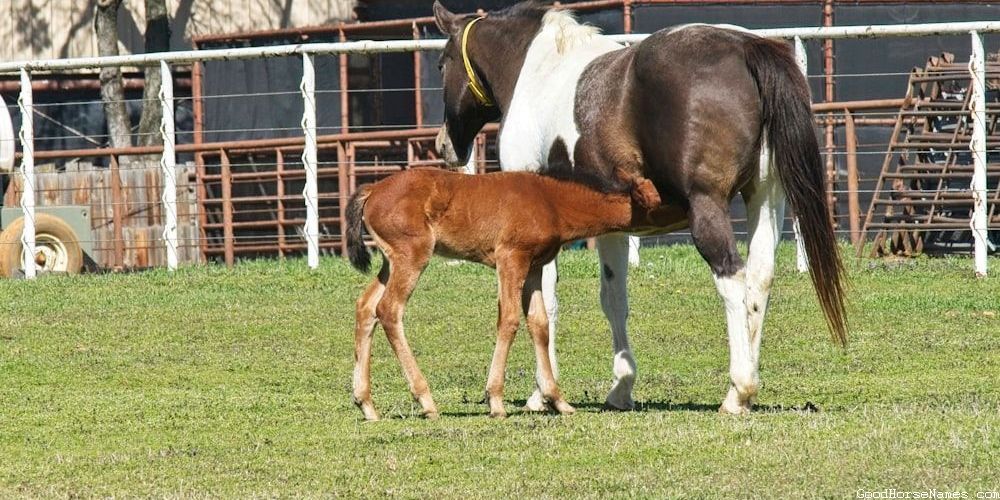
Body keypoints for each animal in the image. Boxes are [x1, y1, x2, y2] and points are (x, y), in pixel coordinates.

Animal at [345, 141, 679, 420]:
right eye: (664, 199)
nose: (687, 205)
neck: (550, 201)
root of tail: (372, 190)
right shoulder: (510, 259)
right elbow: (508, 319)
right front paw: (496, 401)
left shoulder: (533, 267)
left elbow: (539, 324)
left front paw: (557, 400)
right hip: (412, 256)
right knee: (388, 309)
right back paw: (426, 400)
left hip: (391, 262)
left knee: (365, 306)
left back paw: (366, 404)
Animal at [431, 0, 846, 415]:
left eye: (441, 62)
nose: (443, 145)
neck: (540, 70)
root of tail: (745, 47)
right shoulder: (611, 226)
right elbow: (614, 299)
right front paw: (621, 387)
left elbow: (544, 304)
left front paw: (542, 394)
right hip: (765, 198)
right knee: (760, 280)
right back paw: (744, 392)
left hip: (708, 208)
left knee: (732, 278)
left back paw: (738, 390)